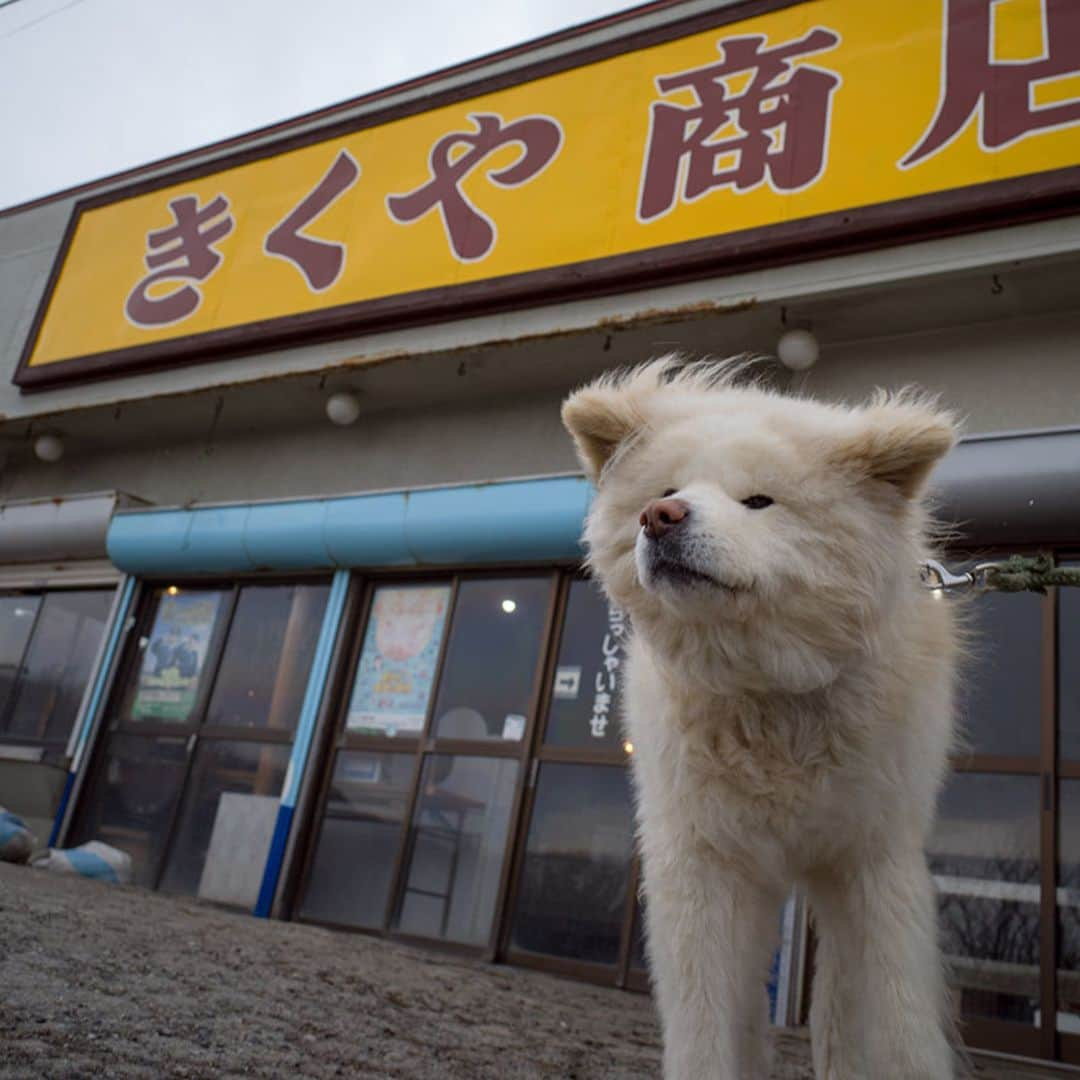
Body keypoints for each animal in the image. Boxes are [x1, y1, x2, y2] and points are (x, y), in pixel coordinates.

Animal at [561, 362, 959, 1080]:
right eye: (667, 490)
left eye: (759, 501)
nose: (660, 517)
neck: (770, 692)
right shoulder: (705, 862)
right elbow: (706, 1016)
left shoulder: (872, 855)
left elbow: (897, 1016)